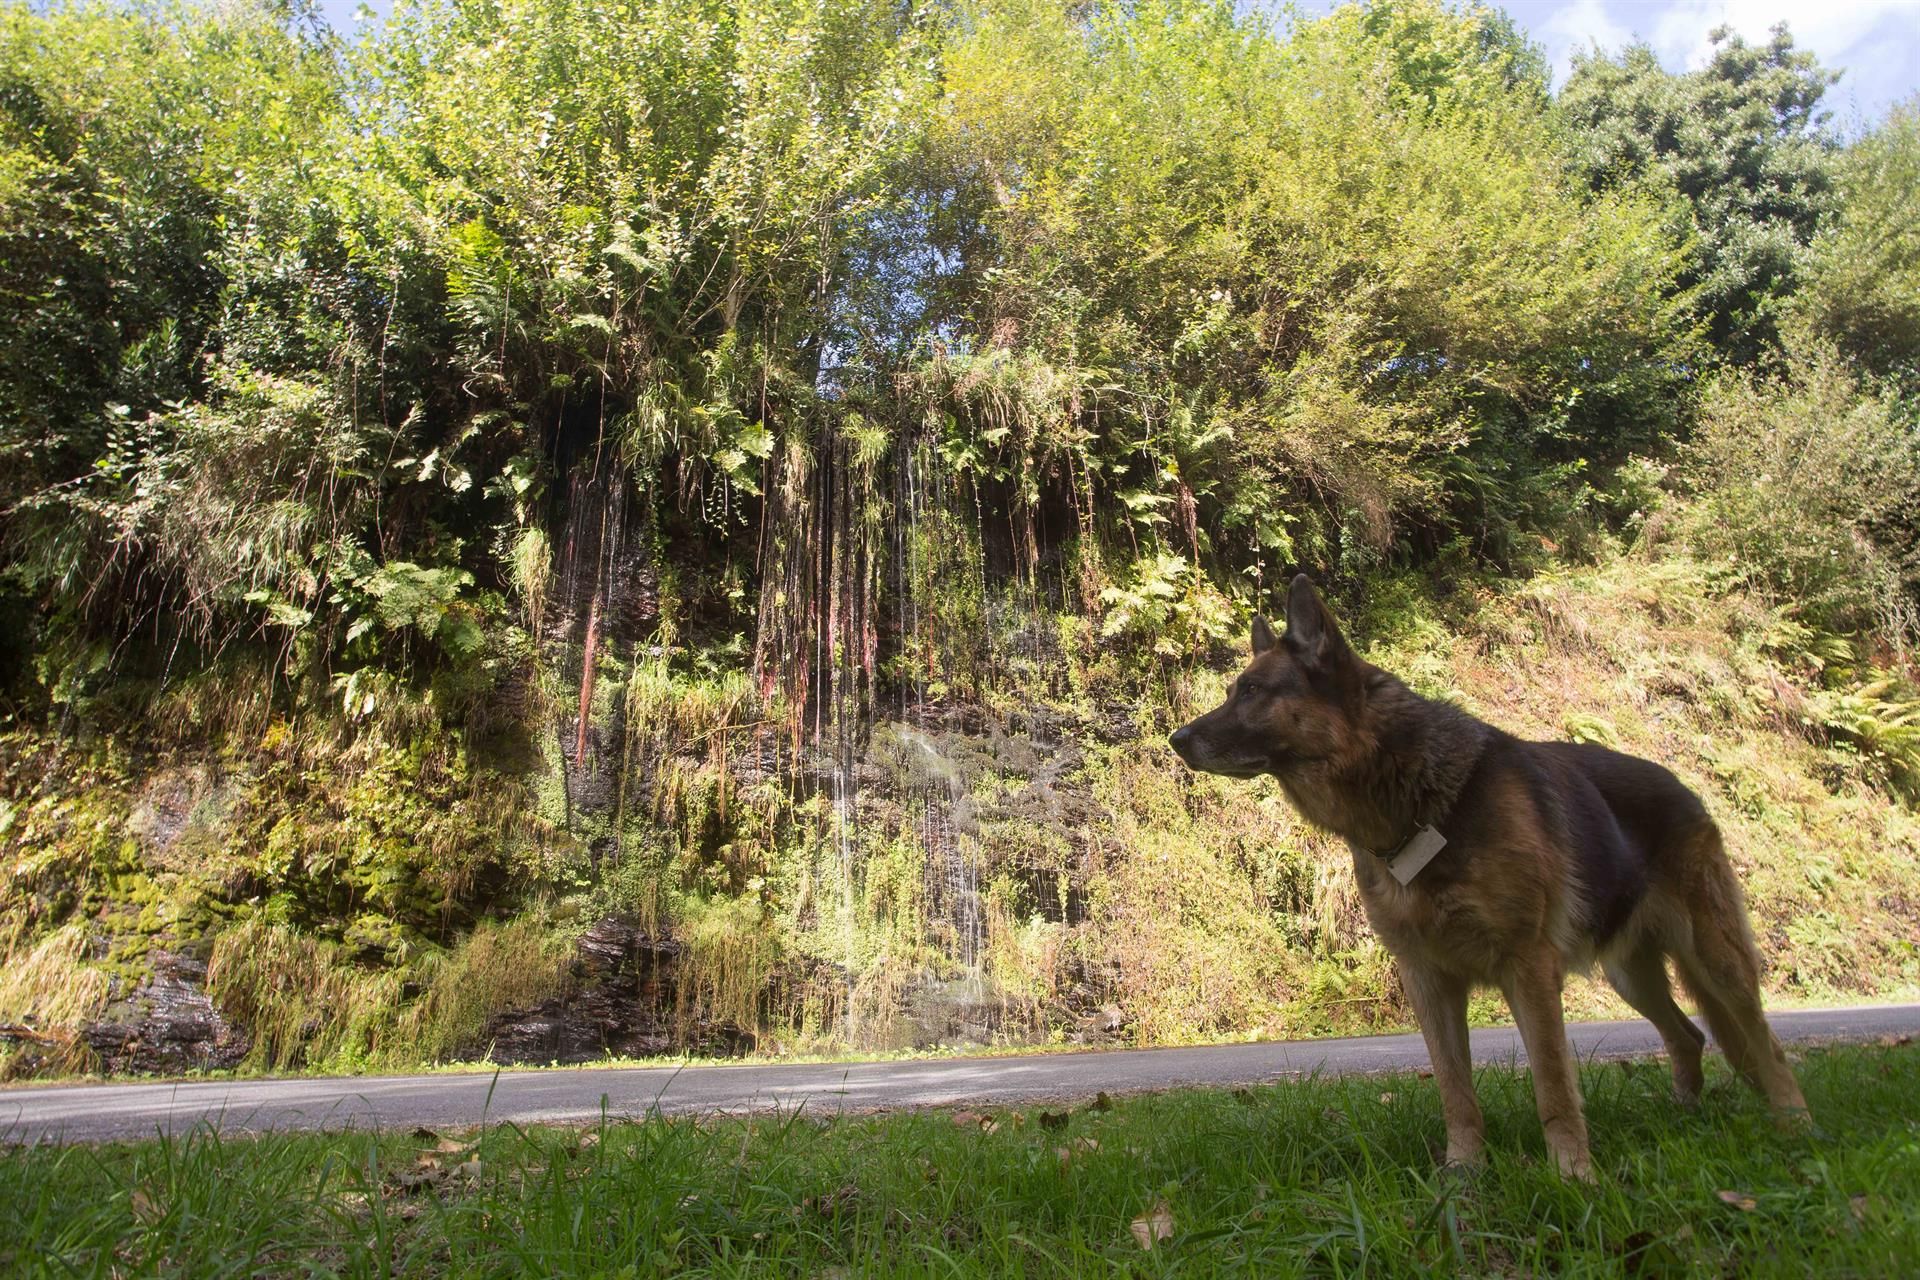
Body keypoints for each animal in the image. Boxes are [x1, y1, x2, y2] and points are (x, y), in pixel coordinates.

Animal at [1159, 575, 1804, 1174]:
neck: (1413, 804)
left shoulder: (1529, 970)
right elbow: (1455, 1092)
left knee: (1765, 1042)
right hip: (1630, 975)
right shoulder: (1427, 979)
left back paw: (1794, 1124)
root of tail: (1686, 790)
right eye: (1233, 691)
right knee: (1689, 1036)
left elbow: (1552, 1087)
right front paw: (1464, 1174)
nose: (1175, 739)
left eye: (1252, 692)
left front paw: (1573, 1174)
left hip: (1716, 959)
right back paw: (1683, 1117)